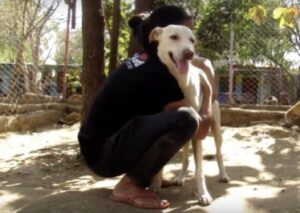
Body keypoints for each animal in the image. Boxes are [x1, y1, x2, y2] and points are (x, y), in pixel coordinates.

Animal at [148, 24, 230, 206]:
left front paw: (203, 194)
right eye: (174, 37)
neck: (179, 82)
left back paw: (223, 174)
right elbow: (159, 162)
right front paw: (156, 183)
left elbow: (200, 171)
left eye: (192, 40)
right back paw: (179, 177)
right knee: (185, 158)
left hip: (216, 128)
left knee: (219, 153)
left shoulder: (199, 132)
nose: (189, 54)